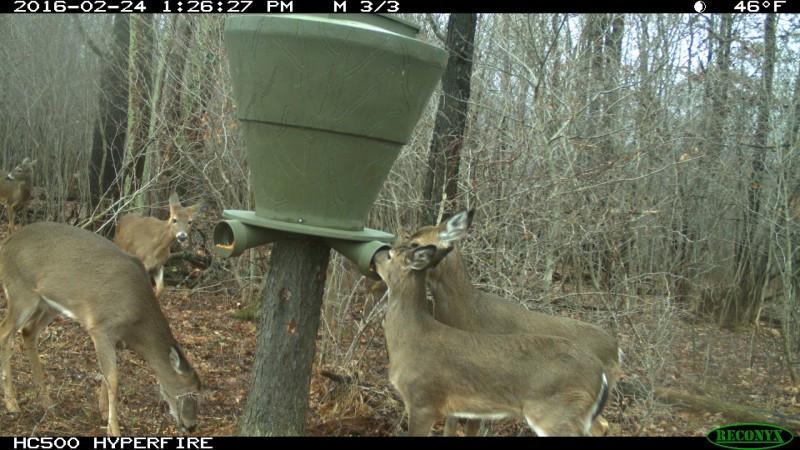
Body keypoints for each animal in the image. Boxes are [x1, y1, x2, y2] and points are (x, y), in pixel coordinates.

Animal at [0, 222, 202, 436]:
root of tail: (7, 243)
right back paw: (12, 404)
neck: (137, 324)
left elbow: (108, 375)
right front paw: (114, 429)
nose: (191, 426)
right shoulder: (101, 327)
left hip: (48, 304)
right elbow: (113, 378)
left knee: (28, 331)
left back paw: (46, 402)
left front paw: (103, 411)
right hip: (20, 292)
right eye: (191, 392)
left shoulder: (117, 338)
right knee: (5, 333)